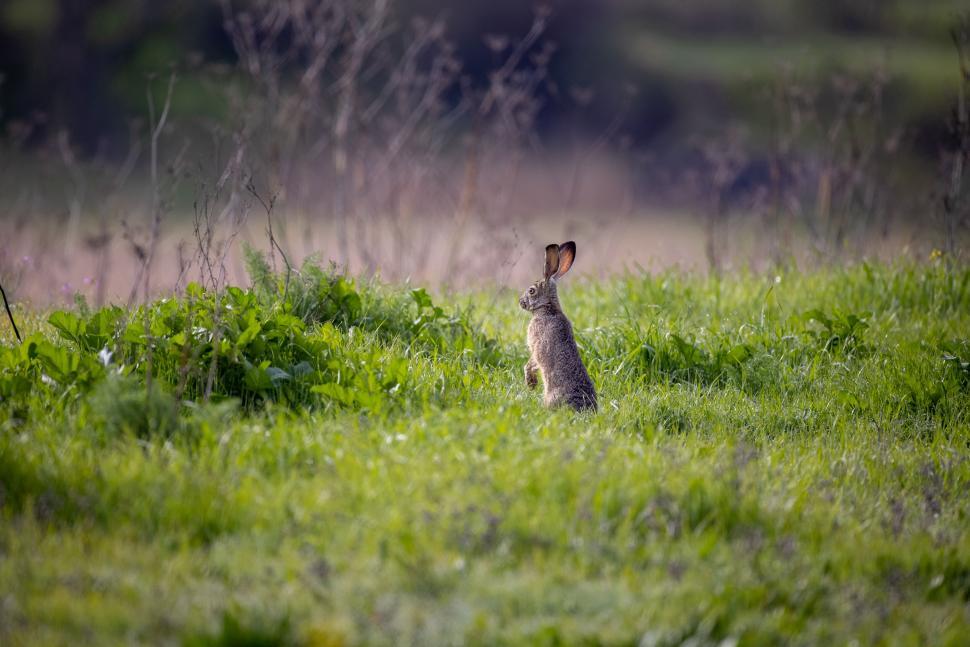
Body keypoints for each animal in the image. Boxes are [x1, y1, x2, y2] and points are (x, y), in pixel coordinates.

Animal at [519, 241, 597, 412]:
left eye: (531, 291)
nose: (520, 302)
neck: (548, 308)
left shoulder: (536, 346)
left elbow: (532, 362)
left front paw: (531, 382)